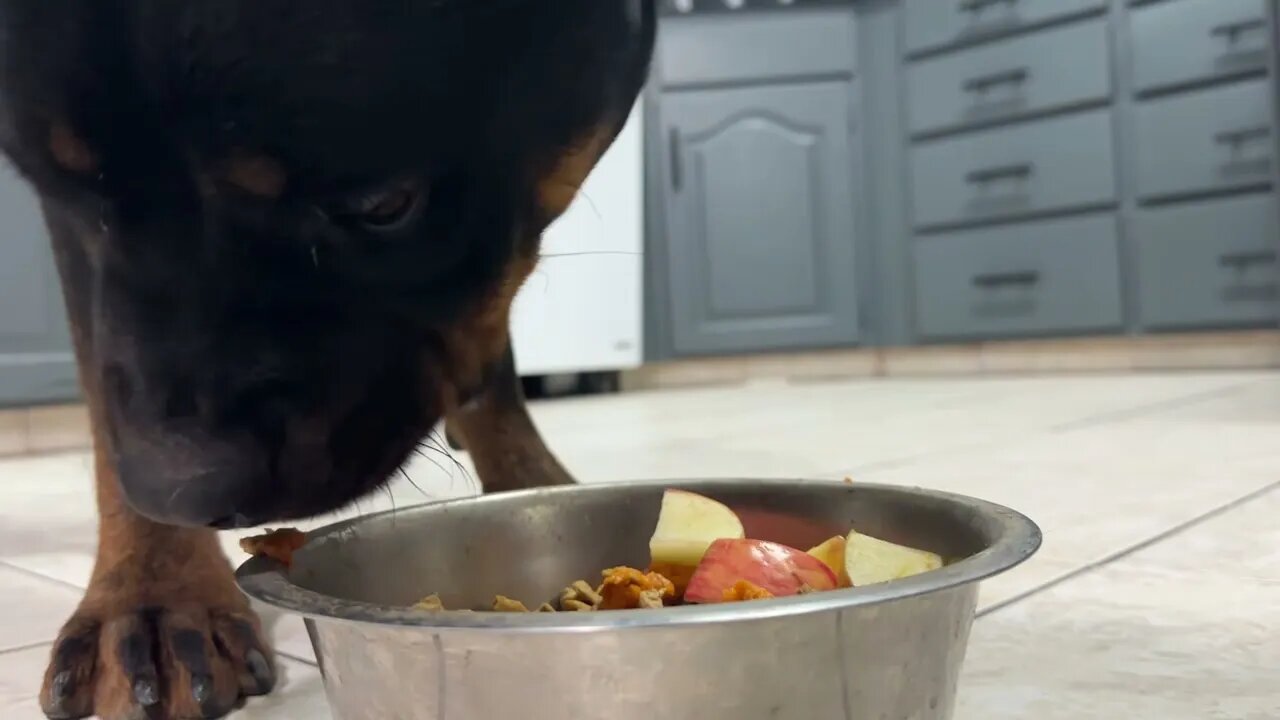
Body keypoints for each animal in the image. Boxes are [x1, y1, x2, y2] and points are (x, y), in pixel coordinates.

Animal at [0, 2, 655, 712]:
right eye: (76, 200)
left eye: (383, 206)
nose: (174, 491)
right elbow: (103, 380)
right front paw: (153, 590)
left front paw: (525, 471)